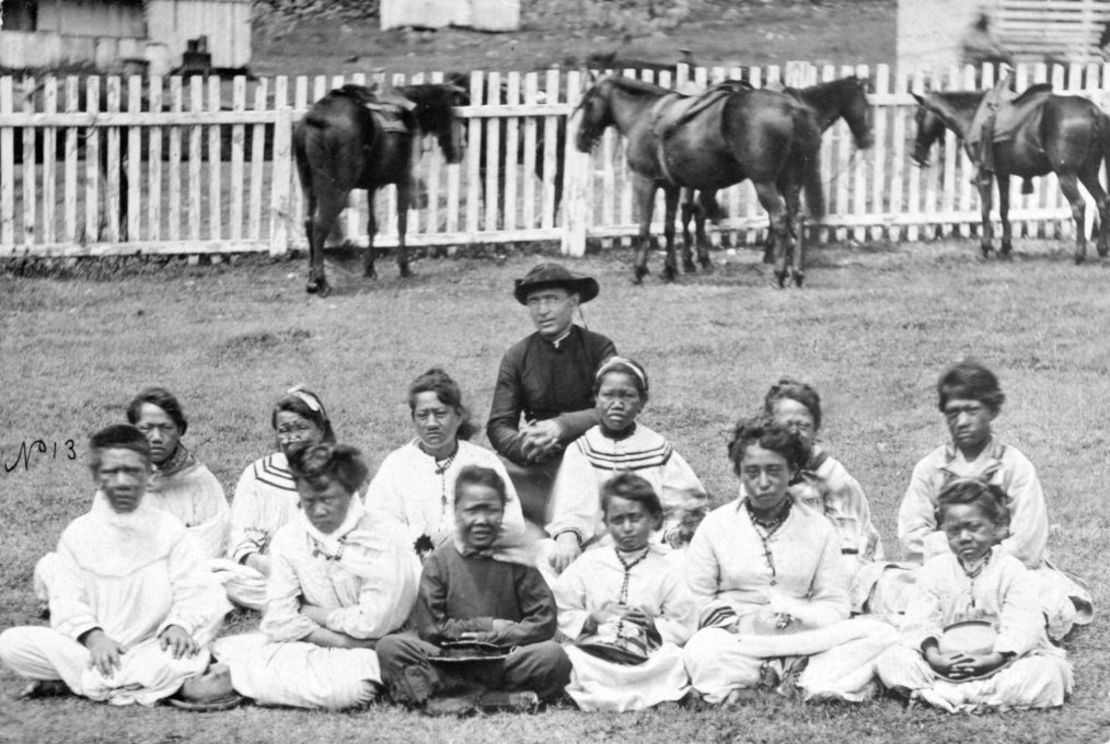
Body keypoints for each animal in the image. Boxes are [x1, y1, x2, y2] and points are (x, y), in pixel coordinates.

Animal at [290, 82, 463, 297]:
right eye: (453, 116)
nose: (458, 153)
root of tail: (315, 119)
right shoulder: (404, 180)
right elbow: (401, 224)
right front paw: (404, 267)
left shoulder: (373, 185)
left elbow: (372, 226)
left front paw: (369, 268)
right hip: (336, 190)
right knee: (320, 226)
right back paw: (320, 281)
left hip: (309, 186)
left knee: (308, 223)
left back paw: (311, 278)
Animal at [572, 73, 825, 288]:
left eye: (588, 103)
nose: (580, 139)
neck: (643, 116)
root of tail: (791, 108)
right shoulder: (672, 186)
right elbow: (669, 228)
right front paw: (669, 270)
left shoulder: (645, 181)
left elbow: (644, 228)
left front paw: (639, 271)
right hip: (791, 182)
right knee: (798, 218)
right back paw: (797, 273)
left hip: (764, 183)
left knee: (780, 219)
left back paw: (779, 274)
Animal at [679, 72, 870, 269]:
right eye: (865, 103)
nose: (866, 140)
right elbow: (779, 215)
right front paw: (777, 253)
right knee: (698, 211)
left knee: (689, 210)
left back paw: (690, 260)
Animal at [910, 87, 1110, 264]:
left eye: (918, 116)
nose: (915, 155)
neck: (973, 116)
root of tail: (1093, 111)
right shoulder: (1002, 174)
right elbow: (1003, 209)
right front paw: (1004, 247)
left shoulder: (984, 175)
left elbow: (985, 209)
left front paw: (986, 247)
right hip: (1088, 173)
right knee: (1102, 201)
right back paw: (1102, 249)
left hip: (1066, 174)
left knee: (1079, 206)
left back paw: (1079, 254)